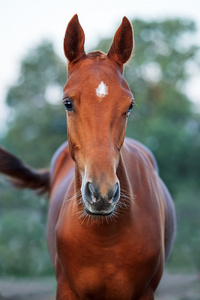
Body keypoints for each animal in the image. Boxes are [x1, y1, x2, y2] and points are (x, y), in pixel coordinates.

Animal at [0, 14, 175, 300]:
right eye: (67, 102)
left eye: (129, 105)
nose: (102, 194)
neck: (105, 237)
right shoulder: (66, 289)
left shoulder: (144, 293)